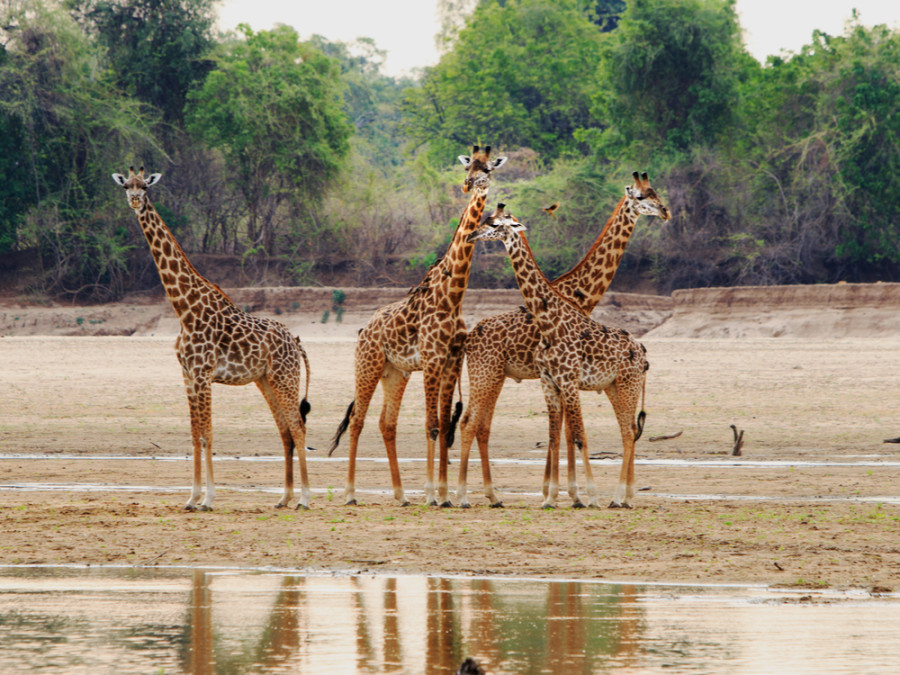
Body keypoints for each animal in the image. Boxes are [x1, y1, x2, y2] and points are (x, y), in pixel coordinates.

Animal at [111, 166, 312, 510]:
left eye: (145, 187)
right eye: (126, 186)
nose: (135, 201)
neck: (183, 308)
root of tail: (295, 341)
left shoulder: (204, 374)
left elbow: (208, 434)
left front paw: (209, 498)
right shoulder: (187, 374)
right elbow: (195, 434)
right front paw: (192, 497)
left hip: (286, 377)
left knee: (298, 427)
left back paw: (305, 498)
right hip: (266, 380)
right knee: (285, 430)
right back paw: (284, 498)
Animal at [326, 147, 506, 508]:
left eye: (487, 170)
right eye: (469, 167)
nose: (470, 185)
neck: (453, 295)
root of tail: (363, 330)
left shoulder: (452, 361)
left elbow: (444, 423)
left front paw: (444, 493)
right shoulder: (433, 360)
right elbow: (431, 425)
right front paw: (432, 494)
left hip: (396, 372)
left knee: (387, 423)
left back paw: (399, 495)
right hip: (367, 365)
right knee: (357, 420)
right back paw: (351, 493)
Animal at [458, 174, 668, 508]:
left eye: (653, 193)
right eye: (641, 196)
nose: (665, 211)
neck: (576, 296)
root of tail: (469, 337)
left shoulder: (565, 381)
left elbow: (567, 434)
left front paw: (568, 493)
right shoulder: (555, 380)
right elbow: (565, 434)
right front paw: (563, 493)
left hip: (502, 377)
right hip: (487, 374)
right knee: (470, 423)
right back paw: (460, 495)